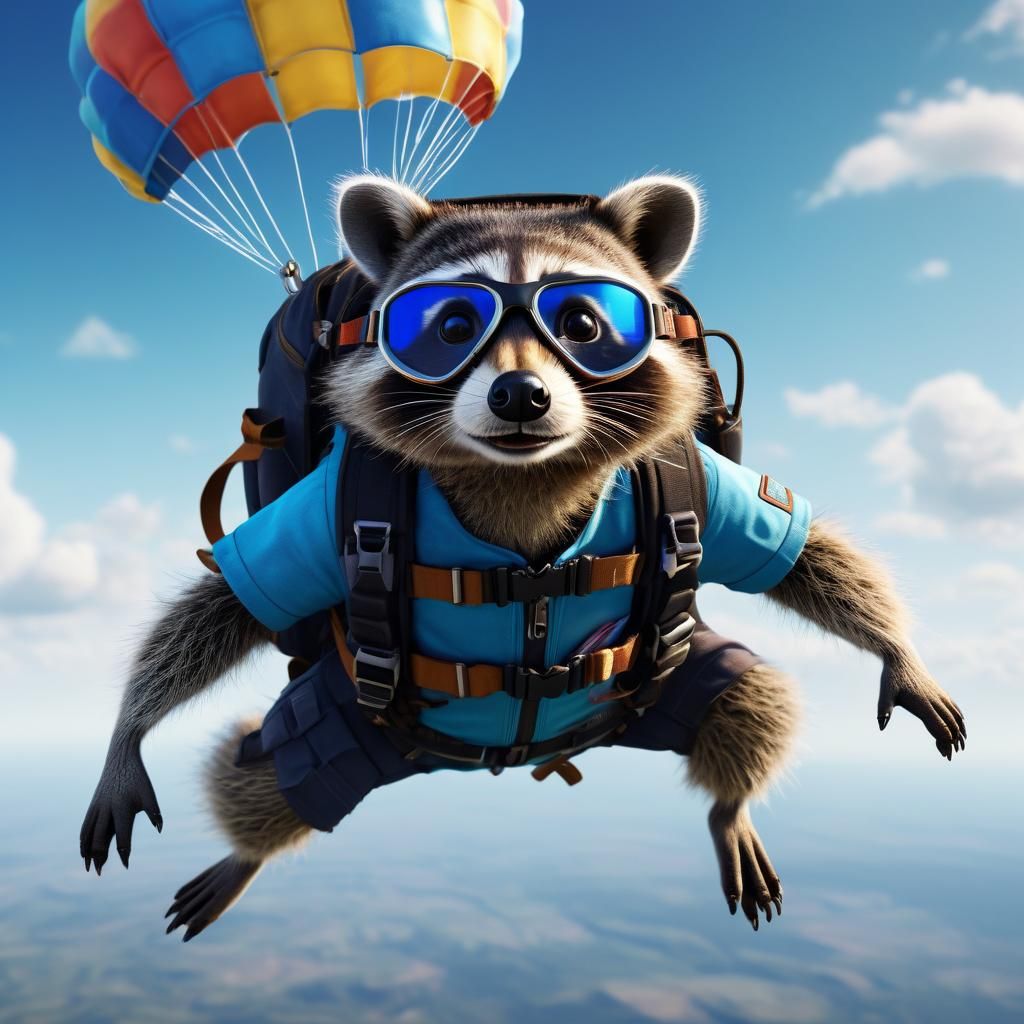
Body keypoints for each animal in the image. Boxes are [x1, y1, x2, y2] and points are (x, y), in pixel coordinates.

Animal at [80, 175, 966, 942]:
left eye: (583, 322)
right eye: (449, 326)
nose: (519, 396)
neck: (523, 473)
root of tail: (512, 759)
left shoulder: (704, 487)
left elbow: (805, 554)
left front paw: (899, 651)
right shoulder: (325, 506)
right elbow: (227, 601)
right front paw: (128, 729)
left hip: (660, 688)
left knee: (749, 695)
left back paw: (730, 808)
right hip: (350, 718)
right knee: (282, 768)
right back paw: (245, 852)